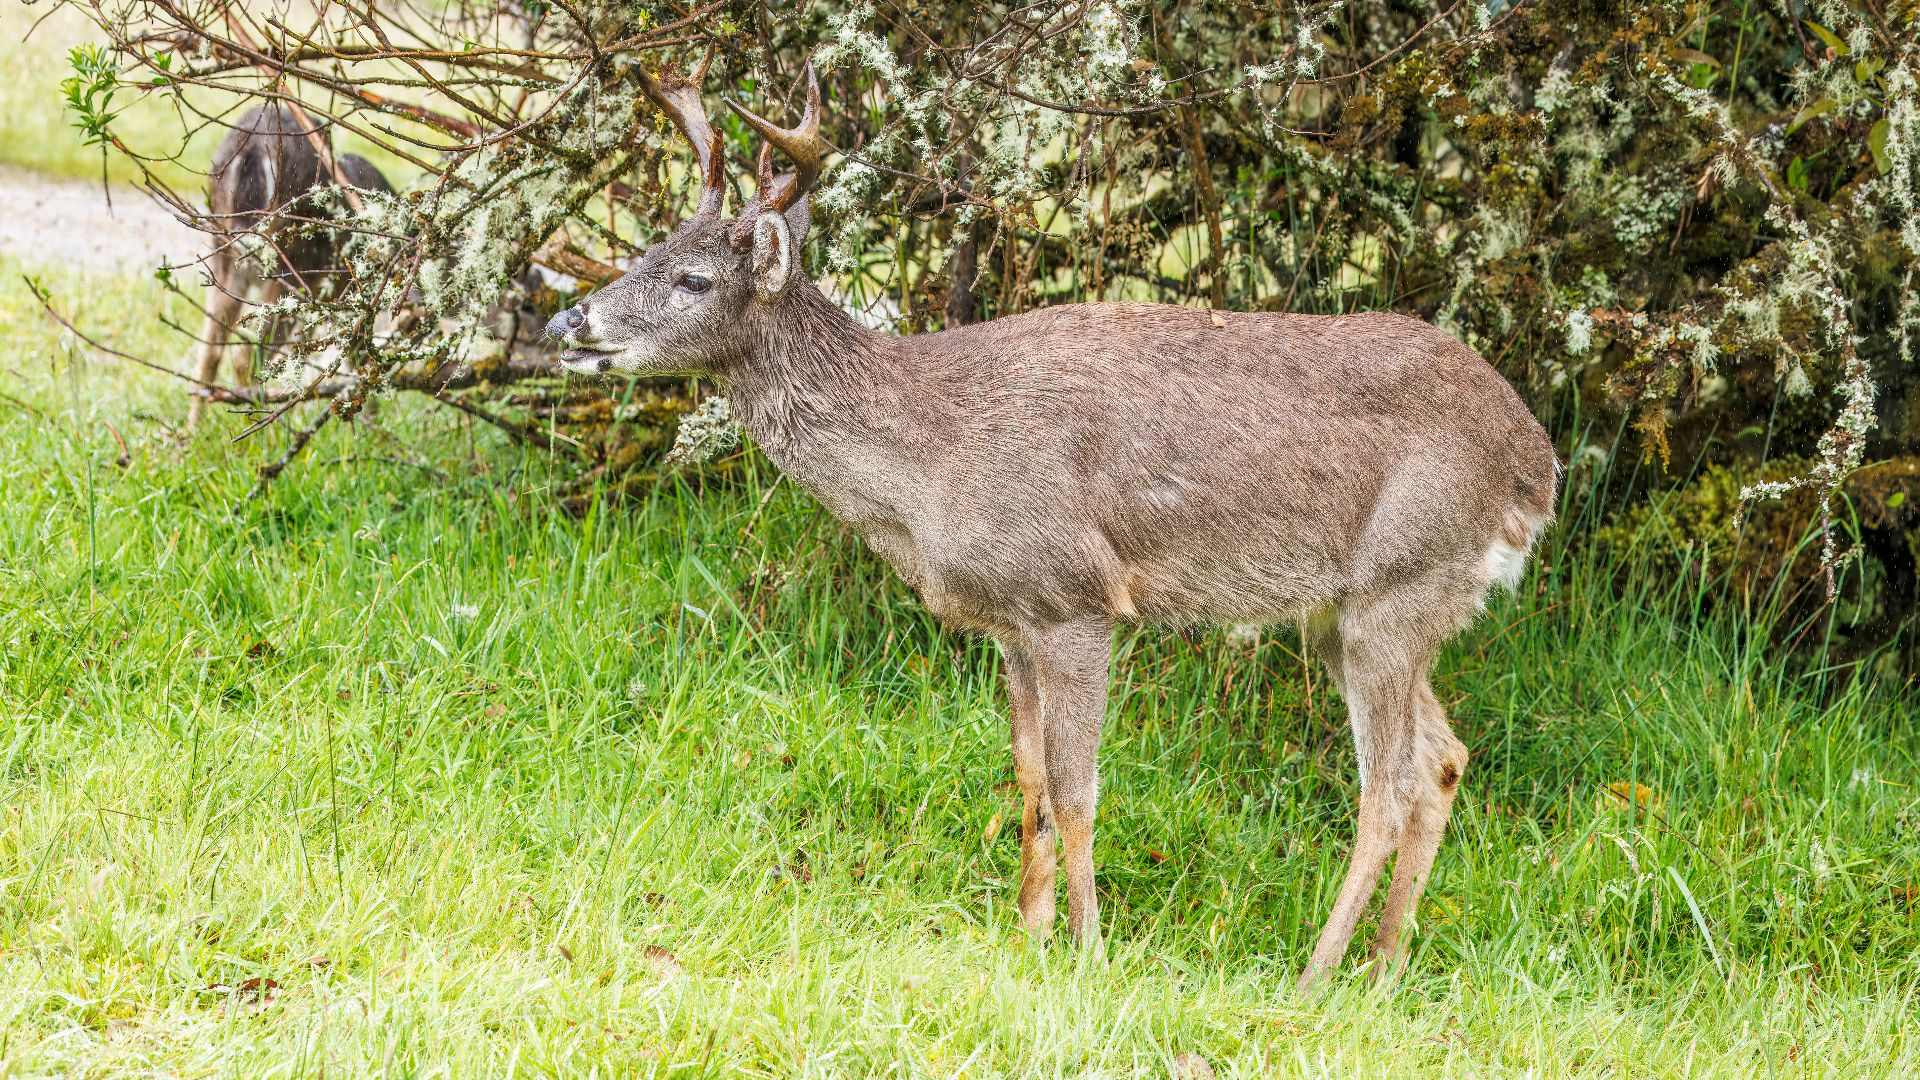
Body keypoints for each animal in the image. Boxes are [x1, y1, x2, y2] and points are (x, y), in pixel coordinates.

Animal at [188, 104, 393, 428]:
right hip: (292, 262)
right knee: (248, 356)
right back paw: (262, 431)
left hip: (224, 255)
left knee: (209, 353)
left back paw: (191, 433)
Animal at [546, 62, 1560, 986]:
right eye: (645, 249)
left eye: (691, 277)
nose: (568, 320)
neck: (930, 460)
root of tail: (1534, 463)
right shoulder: (1009, 620)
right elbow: (1027, 776)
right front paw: (1028, 934)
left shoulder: (1076, 599)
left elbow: (1078, 790)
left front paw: (1089, 950)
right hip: (1348, 613)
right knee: (1443, 760)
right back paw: (1384, 969)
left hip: (1401, 580)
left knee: (1388, 785)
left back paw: (1315, 976)